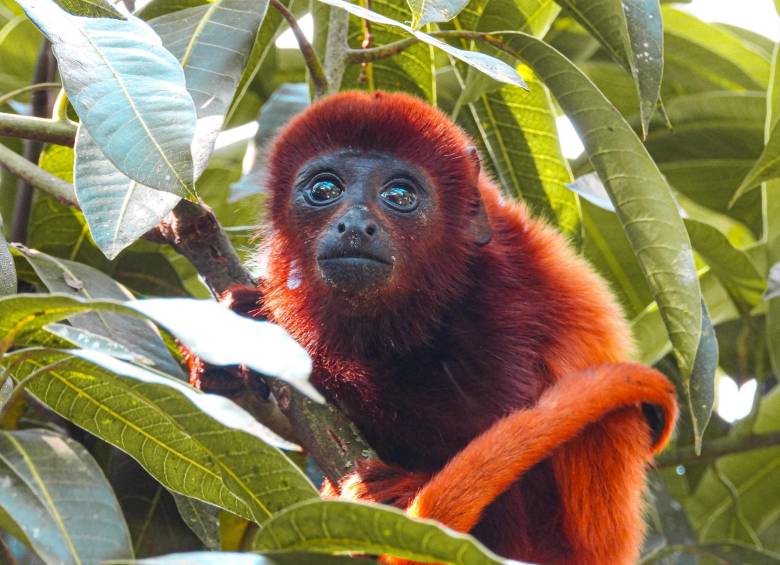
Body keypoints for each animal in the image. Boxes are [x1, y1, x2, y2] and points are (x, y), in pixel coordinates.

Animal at [193, 91, 676, 564]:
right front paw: (228, 352)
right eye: (324, 189)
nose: (355, 226)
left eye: (400, 195)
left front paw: (271, 328)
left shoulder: (502, 301)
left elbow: (483, 422)